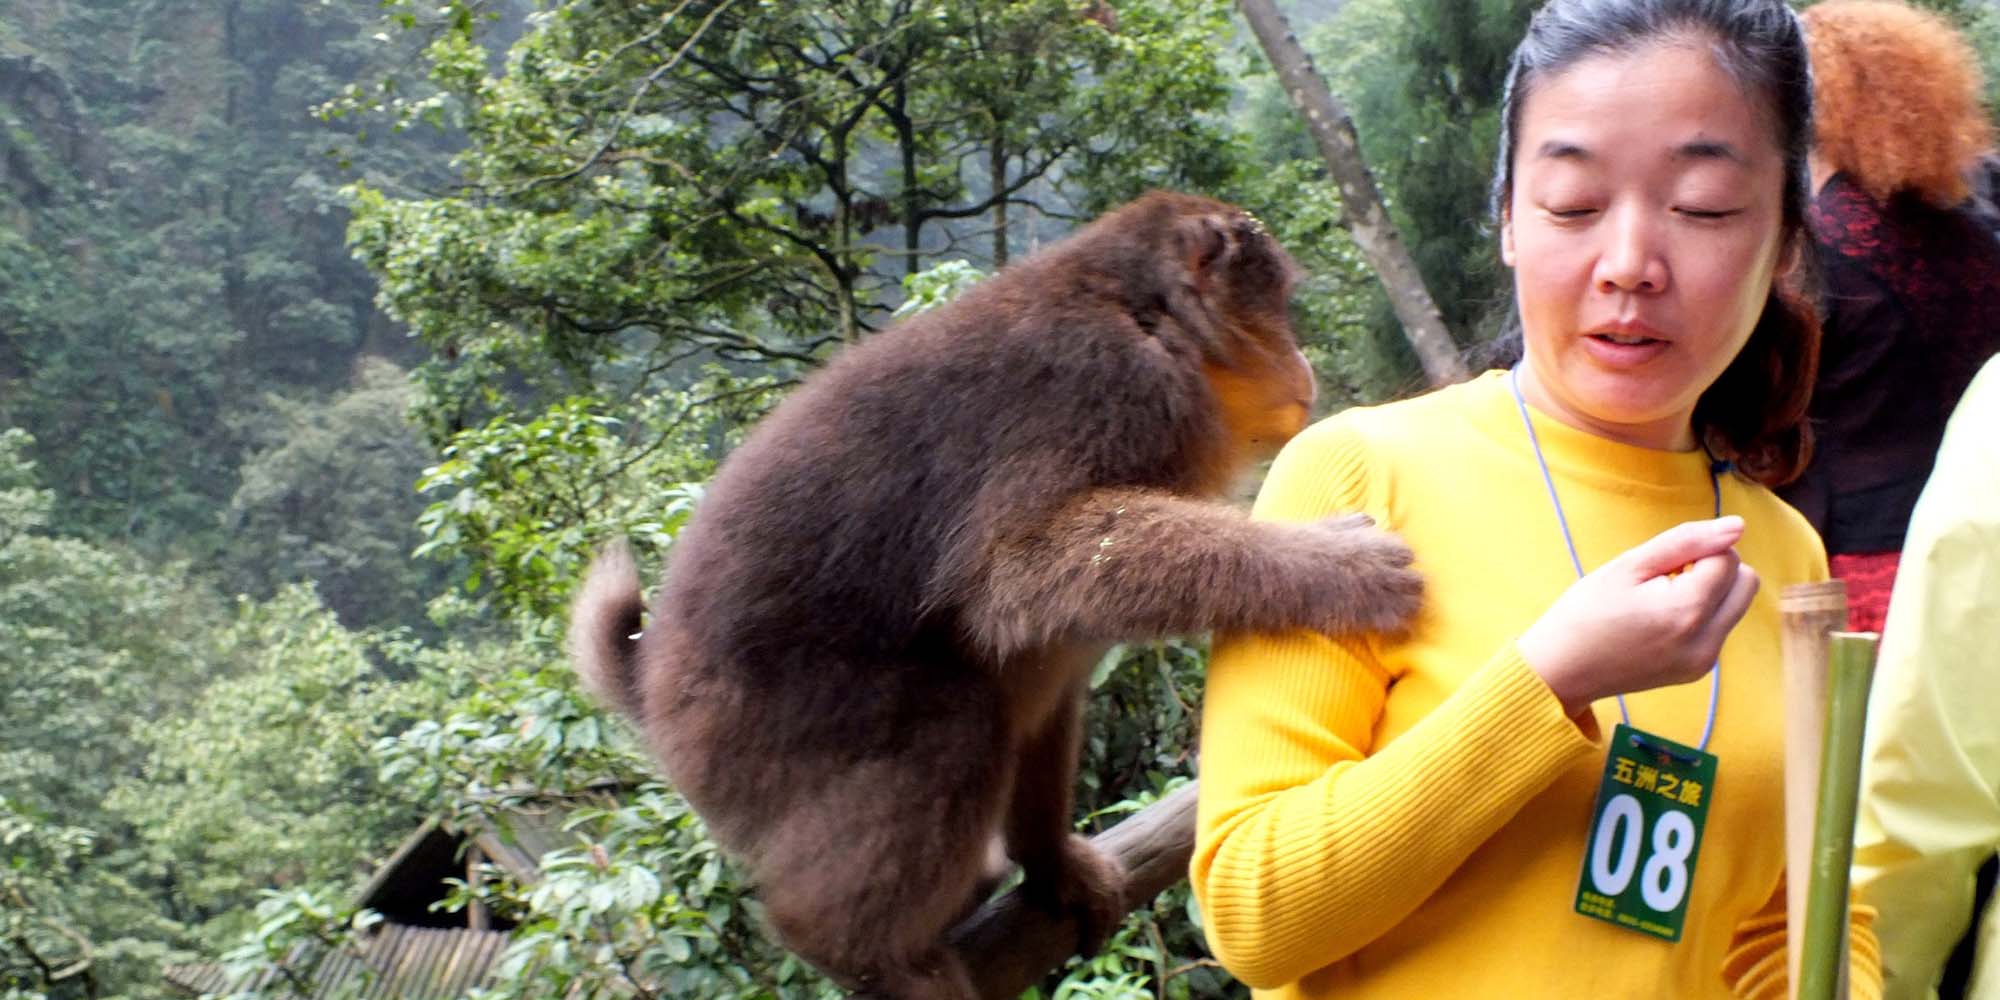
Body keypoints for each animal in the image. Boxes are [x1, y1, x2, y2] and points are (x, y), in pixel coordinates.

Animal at [572, 189, 1432, 1000]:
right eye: (1281, 307)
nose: (1305, 363)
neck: (1150, 325)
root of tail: (649, 684)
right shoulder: (1108, 382)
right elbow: (1013, 573)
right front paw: (1327, 564)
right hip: (752, 730)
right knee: (957, 719)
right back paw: (853, 949)